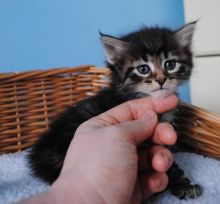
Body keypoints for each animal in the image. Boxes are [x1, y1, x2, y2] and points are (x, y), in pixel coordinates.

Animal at [28, 21, 202, 199]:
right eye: (143, 69)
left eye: (170, 64)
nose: (161, 80)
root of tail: (41, 151)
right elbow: (169, 166)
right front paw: (183, 184)